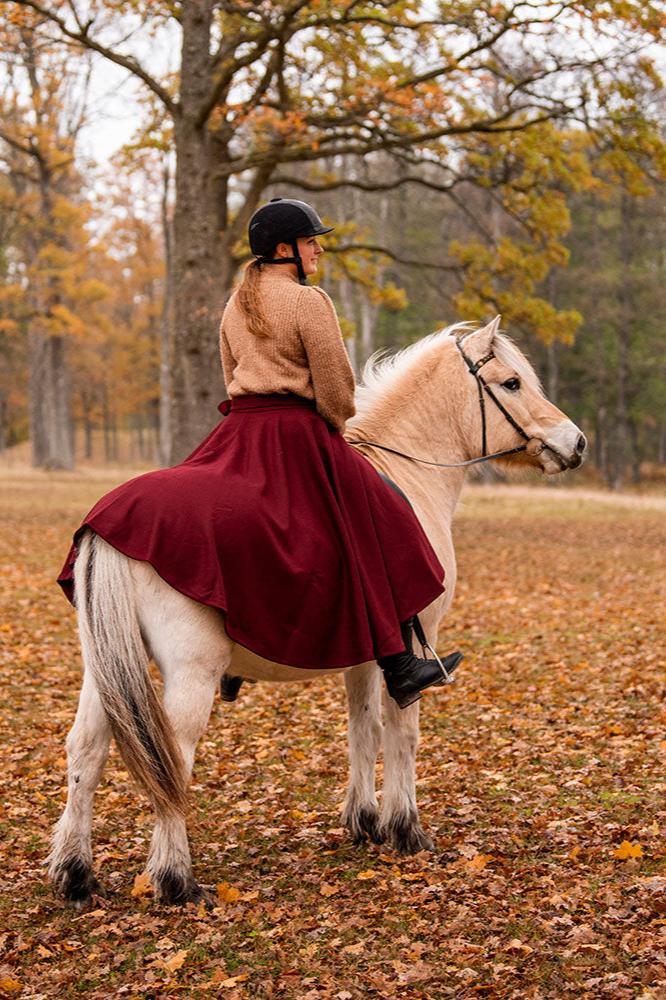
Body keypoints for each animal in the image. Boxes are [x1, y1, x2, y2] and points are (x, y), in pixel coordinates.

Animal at [49, 318, 584, 908]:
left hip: (105, 668)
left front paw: (364, 821)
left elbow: (362, 727)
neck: (406, 472)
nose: (576, 442)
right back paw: (175, 880)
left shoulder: (368, 652)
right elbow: (402, 731)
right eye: (512, 383)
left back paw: (77, 874)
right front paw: (406, 830)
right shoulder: (415, 638)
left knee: (86, 752)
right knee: (174, 757)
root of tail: (110, 526)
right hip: (191, 672)